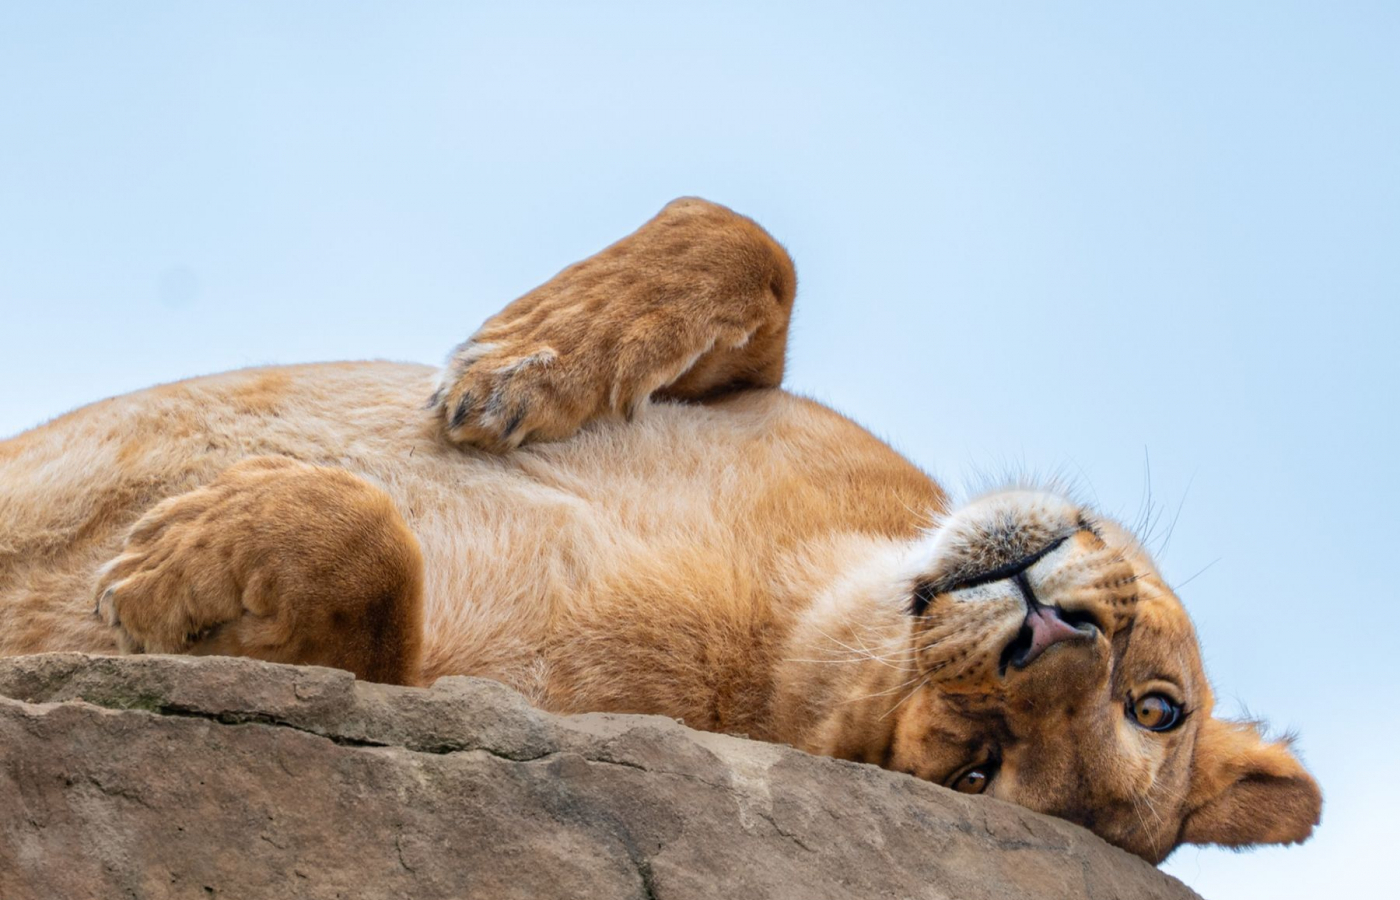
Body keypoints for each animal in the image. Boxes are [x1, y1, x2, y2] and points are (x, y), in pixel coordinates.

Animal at [0, 198, 1319, 863]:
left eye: (975, 771)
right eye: (1159, 706)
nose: (1046, 633)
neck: (794, 597)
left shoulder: (447, 697)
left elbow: (378, 562)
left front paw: (163, 564)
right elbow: (748, 244)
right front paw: (522, 362)